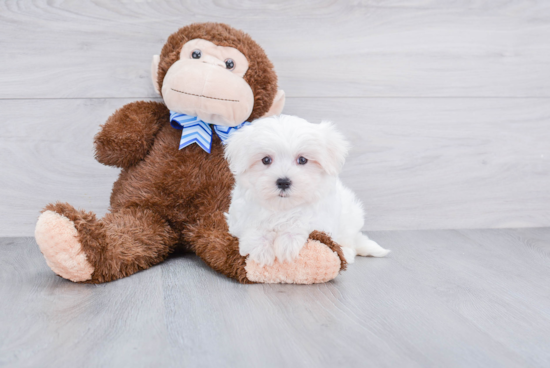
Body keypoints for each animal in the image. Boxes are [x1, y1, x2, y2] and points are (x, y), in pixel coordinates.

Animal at [223, 114, 388, 264]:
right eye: (266, 160)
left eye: (302, 160)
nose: (283, 182)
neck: (283, 207)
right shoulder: (240, 216)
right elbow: (252, 226)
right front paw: (261, 249)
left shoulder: (320, 218)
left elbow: (302, 221)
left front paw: (287, 243)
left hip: (350, 217)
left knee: (349, 242)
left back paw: (345, 253)